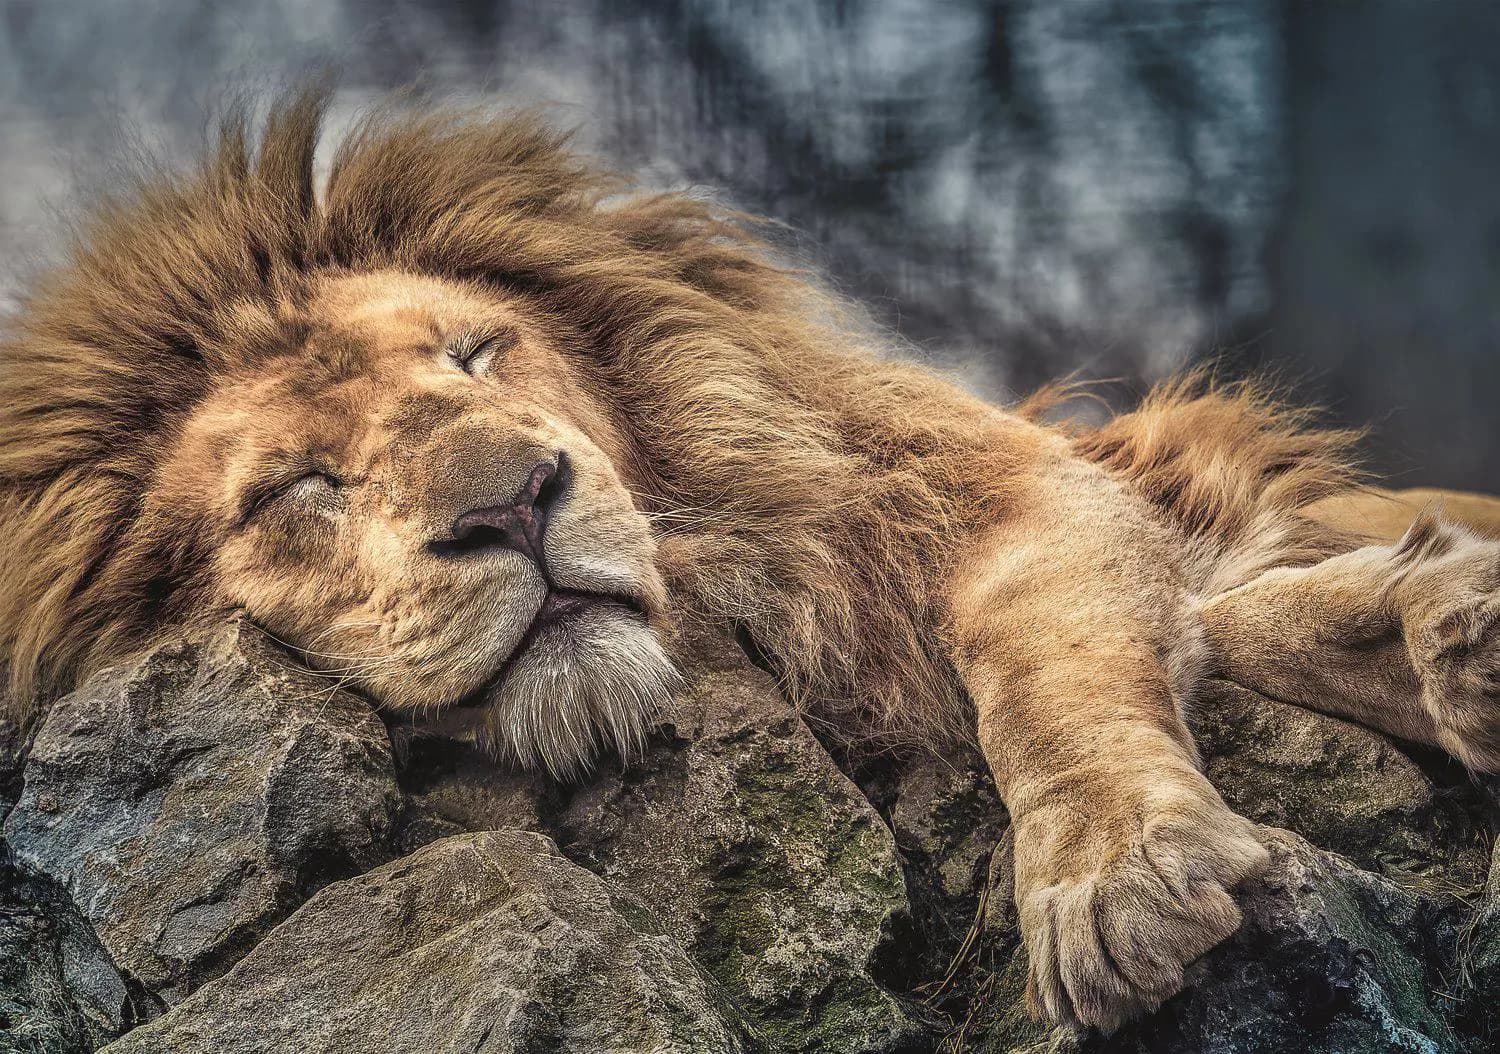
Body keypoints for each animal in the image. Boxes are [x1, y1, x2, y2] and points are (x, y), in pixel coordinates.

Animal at [2, 90, 1499, 1033]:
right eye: (296, 486)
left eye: (476, 353)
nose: (517, 502)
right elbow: (1227, 612)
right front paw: (1430, 624)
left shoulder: (1006, 488)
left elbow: (1050, 663)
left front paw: (1117, 869)